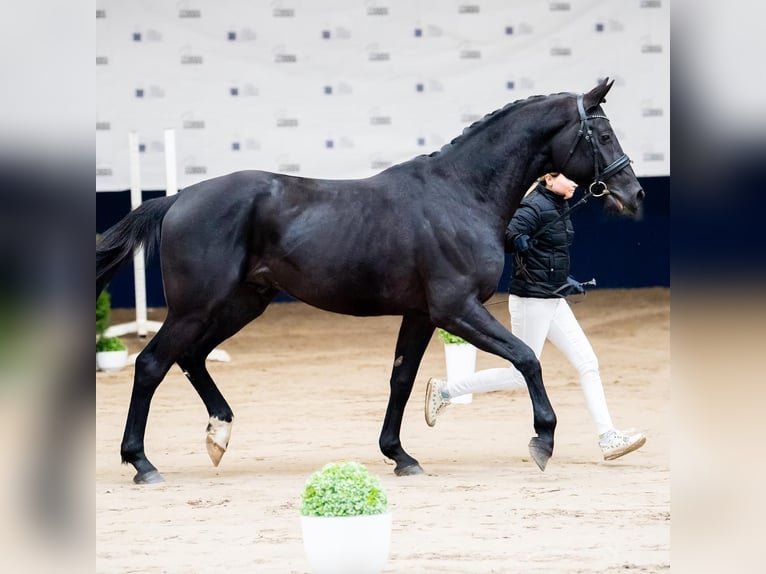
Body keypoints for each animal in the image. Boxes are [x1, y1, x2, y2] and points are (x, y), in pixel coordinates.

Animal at [99, 79, 644, 484]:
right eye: (603, 136)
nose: (635, 194)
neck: (461, 194)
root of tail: (178, 199)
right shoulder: (456, 309)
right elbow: (527, 357)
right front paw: (542, 440)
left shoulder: (421, 314)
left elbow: (401, 379)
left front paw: (400, 456)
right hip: (197, 307)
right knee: (151, 363)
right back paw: (142, 463)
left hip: (241, 304)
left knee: (190, 358)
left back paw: (218, 436)